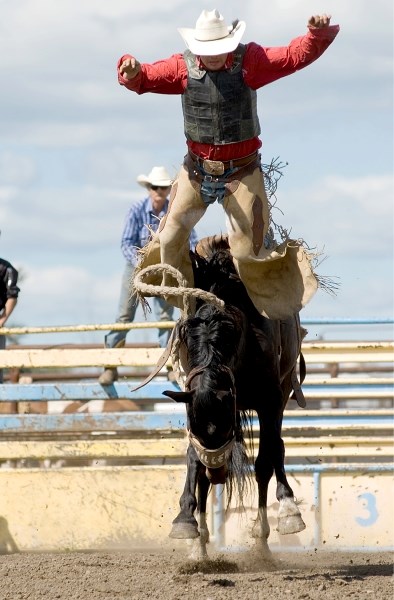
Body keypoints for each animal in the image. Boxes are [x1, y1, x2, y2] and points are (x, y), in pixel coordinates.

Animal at [162, 234, 306, 556]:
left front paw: (283, 517)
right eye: (199, 429)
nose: (217, 475)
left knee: (275, 452)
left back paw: (271, 528)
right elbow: (193, 459)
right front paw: (186, 522)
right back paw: (202, 542)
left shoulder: (269, 401)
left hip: (282, 394)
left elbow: (265, 460)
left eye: (225, 426)